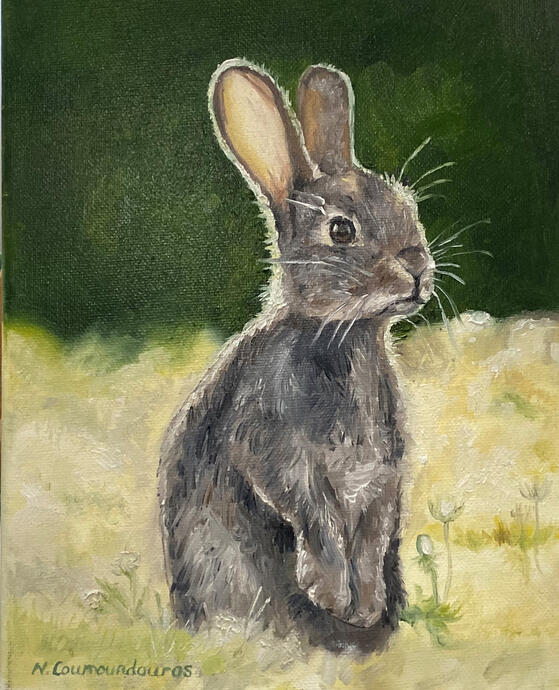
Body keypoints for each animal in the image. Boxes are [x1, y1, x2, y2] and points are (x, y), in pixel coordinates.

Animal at [158, 59, 435, 653]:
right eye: (341, 230)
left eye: (408, 206)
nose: (417, 268)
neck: (342, 336)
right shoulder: (276, 450)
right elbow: (318, 519)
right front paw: (332, 594)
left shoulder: (383, 475)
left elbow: (373, 531)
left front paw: (365, 604)